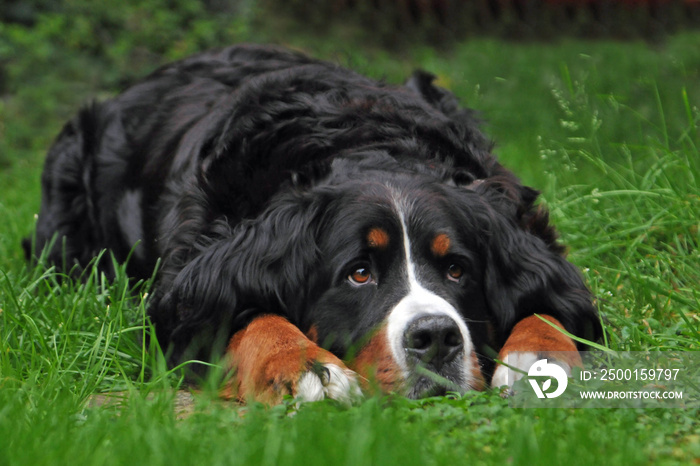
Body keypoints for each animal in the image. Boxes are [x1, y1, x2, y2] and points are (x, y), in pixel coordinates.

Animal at [24, 45, 600, 406]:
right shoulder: (191, 287)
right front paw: (304, 368)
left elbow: (550, 304)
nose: (436, 337)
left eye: (457, 269)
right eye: (359, 273)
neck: (362, 146)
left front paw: (539, 359)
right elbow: (249, 318)